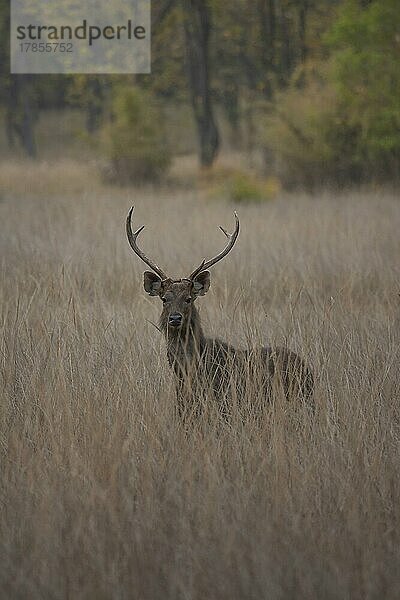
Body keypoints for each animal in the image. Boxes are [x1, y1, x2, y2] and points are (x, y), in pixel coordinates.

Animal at [126, 209, 314, 420]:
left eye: (189, 298)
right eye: (164, 298)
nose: (175, 318)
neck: (189, 374)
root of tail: (308, 368)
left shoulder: (225, 403)